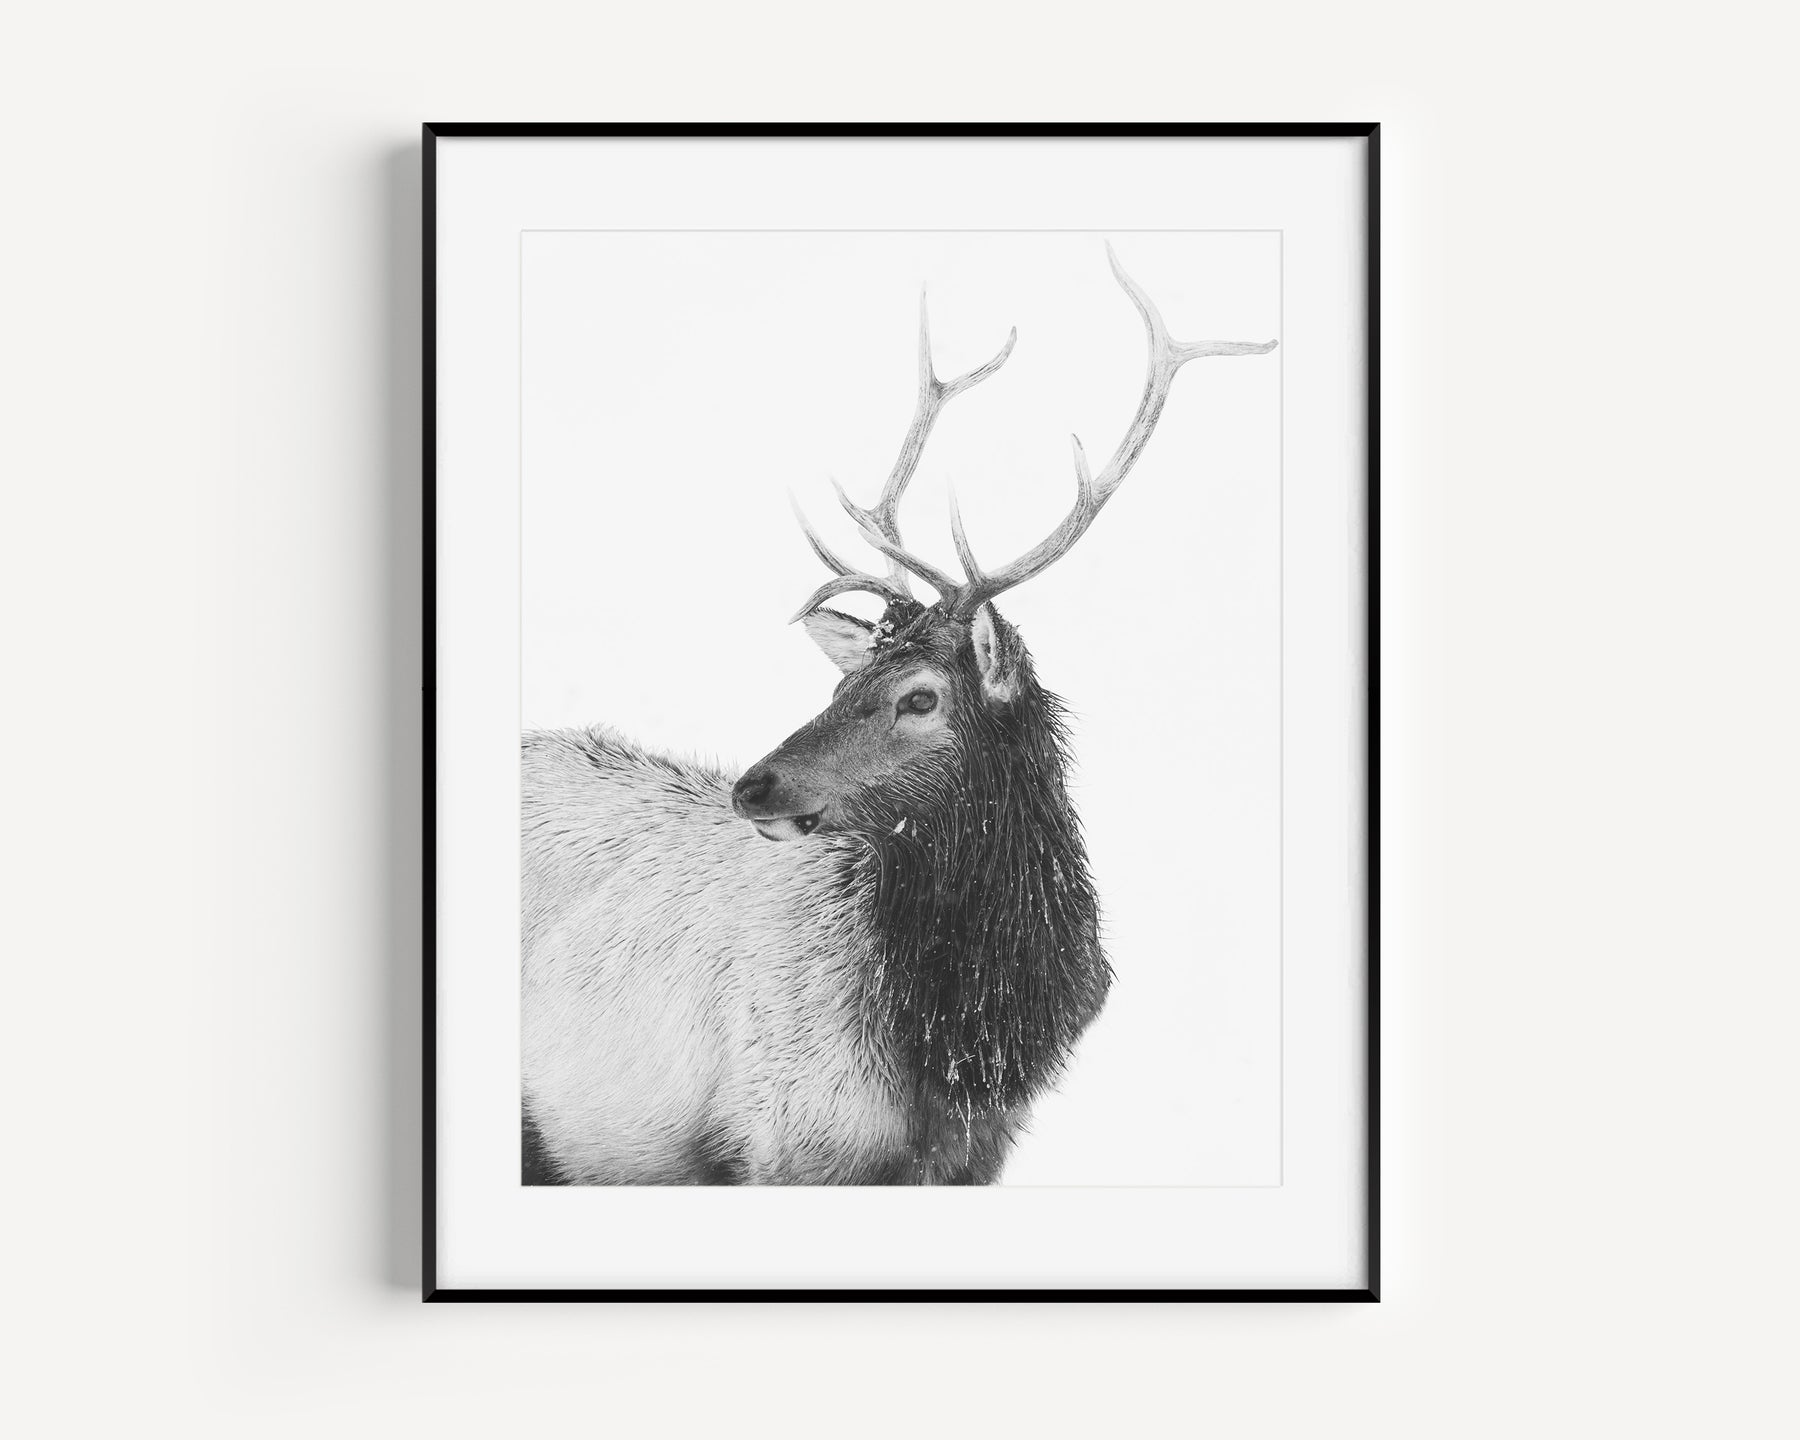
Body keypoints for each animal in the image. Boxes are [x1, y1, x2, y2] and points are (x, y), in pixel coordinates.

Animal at [521, 245, 1276, 1185]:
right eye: (840, 689)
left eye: (919, 696)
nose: (753, 787)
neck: (963, 1052)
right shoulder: (783, 1144)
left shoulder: (974, 1156)